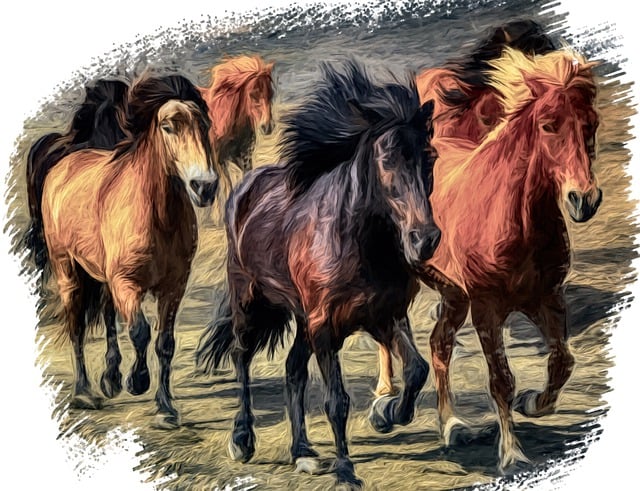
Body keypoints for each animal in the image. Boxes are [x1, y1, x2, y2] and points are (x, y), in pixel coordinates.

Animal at [29, 74, 220, 428]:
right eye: (168, 126)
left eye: (204, 125)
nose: (205, 186)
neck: (157, 217)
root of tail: (65, 163)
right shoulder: (126, 284)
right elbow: (139, 331)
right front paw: (138, 381)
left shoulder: (174, 287)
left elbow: (165, 343)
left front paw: (165, 408)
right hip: (68, 271)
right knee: (76, 326)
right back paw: (84, 393)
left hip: (102, 278)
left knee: (106, 315)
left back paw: (110, 379)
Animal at [196, 60, 440, 488]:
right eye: (386, 159)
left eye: (431, 158)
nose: (424, 240)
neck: (359, 242)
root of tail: (245, 188)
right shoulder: (326, 326)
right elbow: (336, 401)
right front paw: (345, 469)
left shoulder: (386, 316)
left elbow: (417, 370)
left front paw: (387, 413)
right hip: (249, 301)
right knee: (242, 357)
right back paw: (242, 439)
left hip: (302, 320)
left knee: (293, 370)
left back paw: (302, 451)